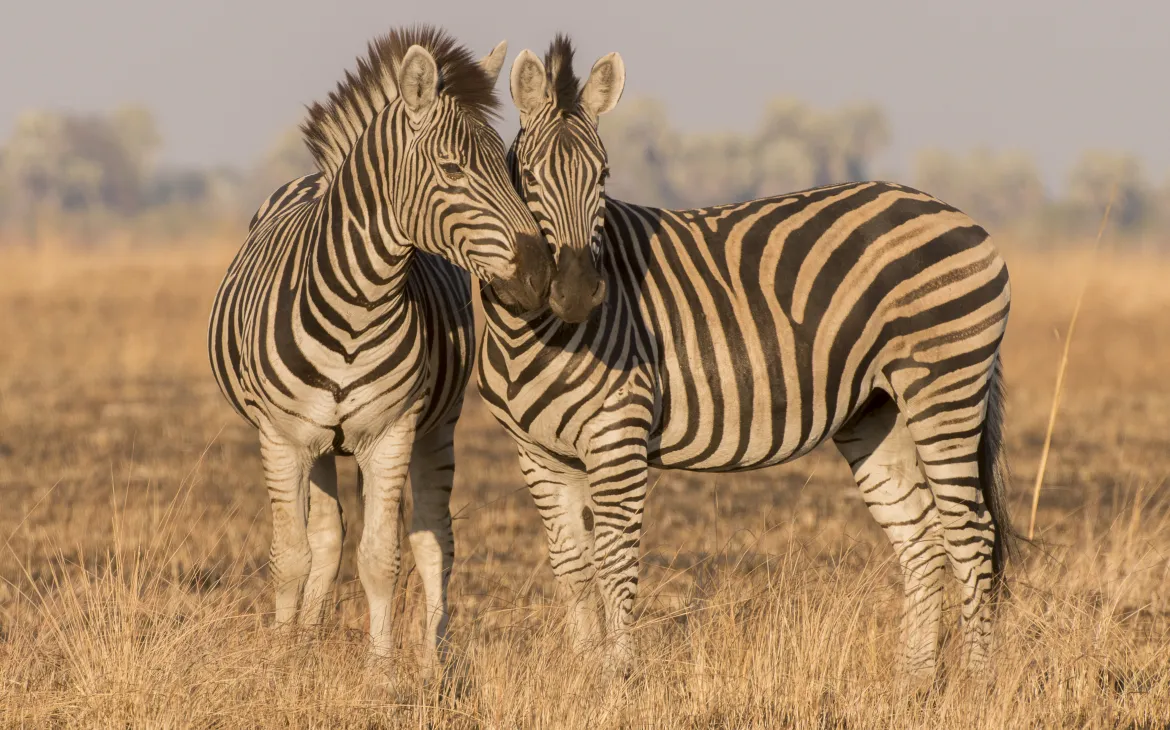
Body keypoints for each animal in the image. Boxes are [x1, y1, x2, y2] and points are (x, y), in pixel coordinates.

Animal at [207, 26, 552, 672]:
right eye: (452, 169)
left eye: (509, 166)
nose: (540, 276)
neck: (355, 307)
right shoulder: (282, 437)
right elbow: (291, 555)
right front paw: (283, 662)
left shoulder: (391, 432)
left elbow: (381, 558)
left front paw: (383, 671)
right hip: (318, 443)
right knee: (325, 536)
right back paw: (305, 640)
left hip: (435, 426)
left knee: (432, 538)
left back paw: (433, 659)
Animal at [476, 35, 1013, 683]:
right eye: (528, 177)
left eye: (604, 175)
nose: (578, 292)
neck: (530, 333)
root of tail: (959, 216)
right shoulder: (538, 452)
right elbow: (572, 567)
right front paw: (583, 676)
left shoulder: (617, 433)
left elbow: (614, 561)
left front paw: (617, 680)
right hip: (879, 409)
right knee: (922, 536)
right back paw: (912, 682)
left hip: (944, 389)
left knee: (971, 535)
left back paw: (977, 683)